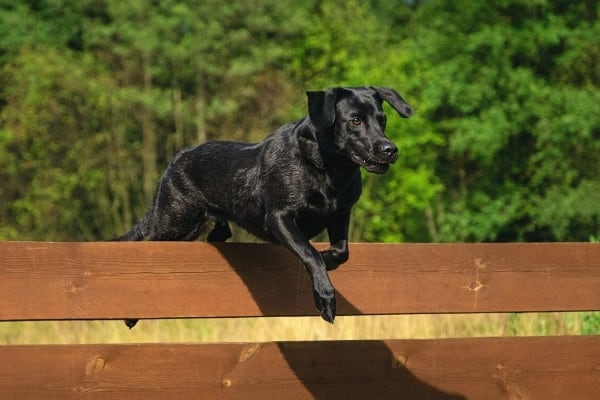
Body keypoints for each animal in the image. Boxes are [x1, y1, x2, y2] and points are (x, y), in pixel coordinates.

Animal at [115, 86, 410, 326]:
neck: (328, 170)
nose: (390, 149)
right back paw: (130, 315)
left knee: (219, 233)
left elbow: (341, 251)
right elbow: (310, 253)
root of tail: (175, 159)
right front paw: (325, 298)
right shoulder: (279, 218)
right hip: (174, 221)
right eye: (355, 120)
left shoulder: (340, 214)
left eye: (383, 120)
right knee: (143, 242)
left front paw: (328, 258)